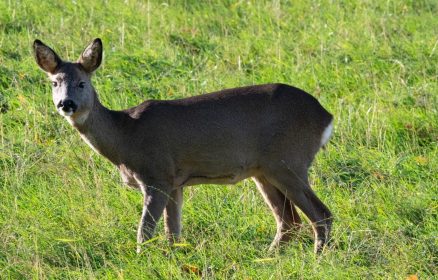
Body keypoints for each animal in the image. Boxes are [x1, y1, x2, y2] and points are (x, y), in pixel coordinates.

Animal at [34, 37, 334, 254]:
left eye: (82, 83)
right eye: (54, 82)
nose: (66, 104)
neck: (125, 137)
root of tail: (326, 116)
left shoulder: (157, 175)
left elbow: (145, 232)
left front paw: (143, 260)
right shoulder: (176, 183)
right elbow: (173, 233)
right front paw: (175, 259)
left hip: (288, 161)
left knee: (321, 214)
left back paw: (318, 257)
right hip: (264, 171)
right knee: (289, 221)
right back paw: (269, 256)